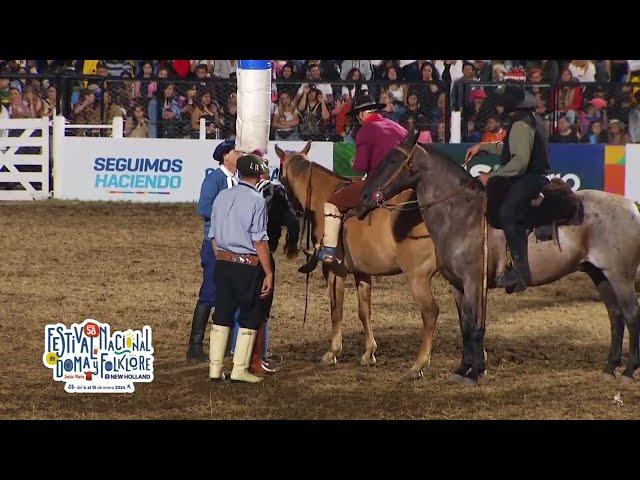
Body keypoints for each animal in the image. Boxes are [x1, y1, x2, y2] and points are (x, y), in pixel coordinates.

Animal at [278, 140, 442, 376]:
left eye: (281, 178)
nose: (294, 209)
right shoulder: (362, 273)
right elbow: (364, 311)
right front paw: (368, 352)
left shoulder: (334, 271)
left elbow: (336, 310)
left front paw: (332, 352)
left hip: (417, 277)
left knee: (430, 312)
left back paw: (419, 363)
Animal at [362, 131, 640, 386]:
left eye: (391, 160)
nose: (365, 196)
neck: (461, 216)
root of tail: (630, 206)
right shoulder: (457, 286)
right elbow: (465, 327)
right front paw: (463, 368)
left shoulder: (474, 282)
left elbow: (476, 326)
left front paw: (475, 372)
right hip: (598, 274)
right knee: (615, 316)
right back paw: (610, 367)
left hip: (620, 276)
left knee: (631, 314)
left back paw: (628, 371)